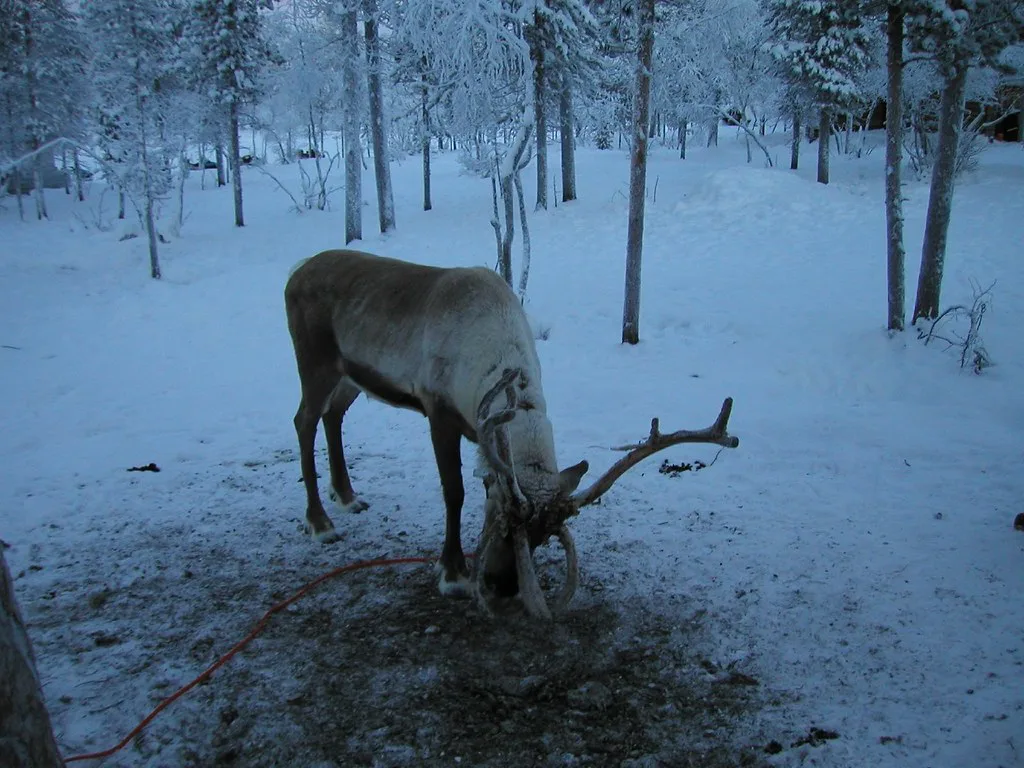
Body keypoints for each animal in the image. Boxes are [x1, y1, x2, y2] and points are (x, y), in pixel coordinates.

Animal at [284, 249, 739, 619]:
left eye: (542, 539)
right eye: (503, 520)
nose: (502, 586)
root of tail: (296, 271)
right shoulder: (438, 410)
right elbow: (453, 492)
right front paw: (452, 572)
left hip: (349, 375)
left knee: (333, 416)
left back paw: (347, 496)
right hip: (315, 362)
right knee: (304, 420)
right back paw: (320, 522)